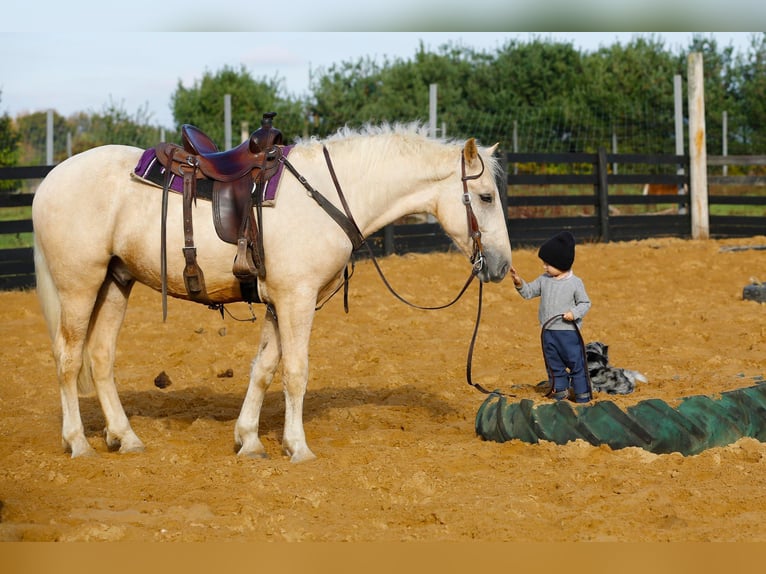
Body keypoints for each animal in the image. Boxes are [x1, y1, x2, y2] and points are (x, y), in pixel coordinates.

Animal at [34, 125, 516, 464]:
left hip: (116, 281)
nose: (501, 265)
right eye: (485, 197)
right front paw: (297, 446)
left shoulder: (277, 302)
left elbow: (264, 369)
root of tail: (50, 180)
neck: (330, 193)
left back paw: (126, 436)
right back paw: (78, 443)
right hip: (80, 285)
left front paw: (249, 440)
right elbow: (296, 372)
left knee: (100, 357)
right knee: (68, 358)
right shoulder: (296, 299)